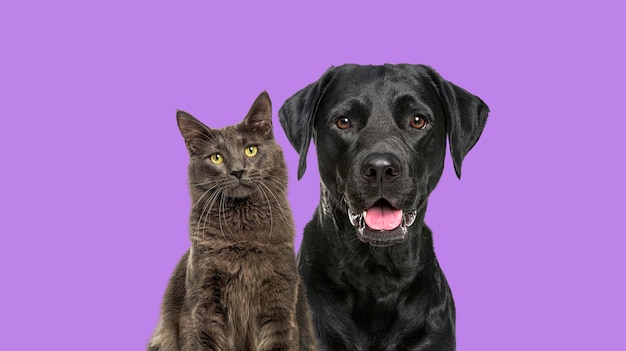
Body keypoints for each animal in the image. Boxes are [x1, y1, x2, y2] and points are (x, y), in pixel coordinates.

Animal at [147, 91, 316, 351]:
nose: (237, 170)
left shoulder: (280, 307)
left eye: (250, 150)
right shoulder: (202, 307)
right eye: (216, 158)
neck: (243, 235)